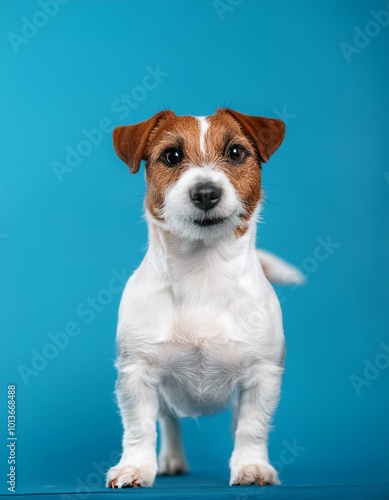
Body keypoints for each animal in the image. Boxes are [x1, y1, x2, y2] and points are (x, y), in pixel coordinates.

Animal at [106, 108, 304, 488]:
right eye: (171, 156)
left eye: (236, 153)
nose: (206, 193)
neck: (202, 273)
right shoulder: (137, 373)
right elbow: (138, 428)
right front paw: (135, 467)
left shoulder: (262, 375)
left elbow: (252, 427)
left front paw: (251, 466)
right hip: (164, 397)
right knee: (168, 422)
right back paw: (170, 459)